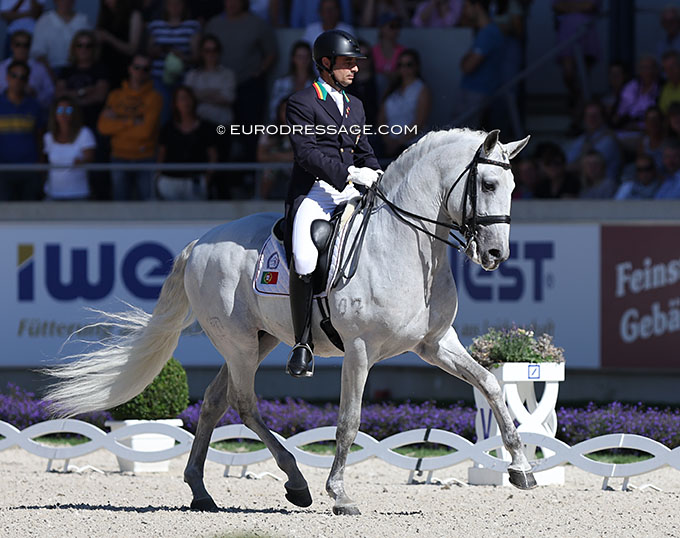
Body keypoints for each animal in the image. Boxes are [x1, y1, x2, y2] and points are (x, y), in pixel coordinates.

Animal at [46, 127, 536, 512]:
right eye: (488, 183)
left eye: (514, 187)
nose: (496, 254)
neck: (404, 245)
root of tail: (200, 243)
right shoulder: (360, 350)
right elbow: (349, 419)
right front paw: (340, 493)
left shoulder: (435, 343)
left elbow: (490, 385)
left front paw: (521, 468)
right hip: (240, 343)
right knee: (244, 403)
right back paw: (297, 484)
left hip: (258, 339)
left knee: (214, 400)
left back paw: (202, 491)